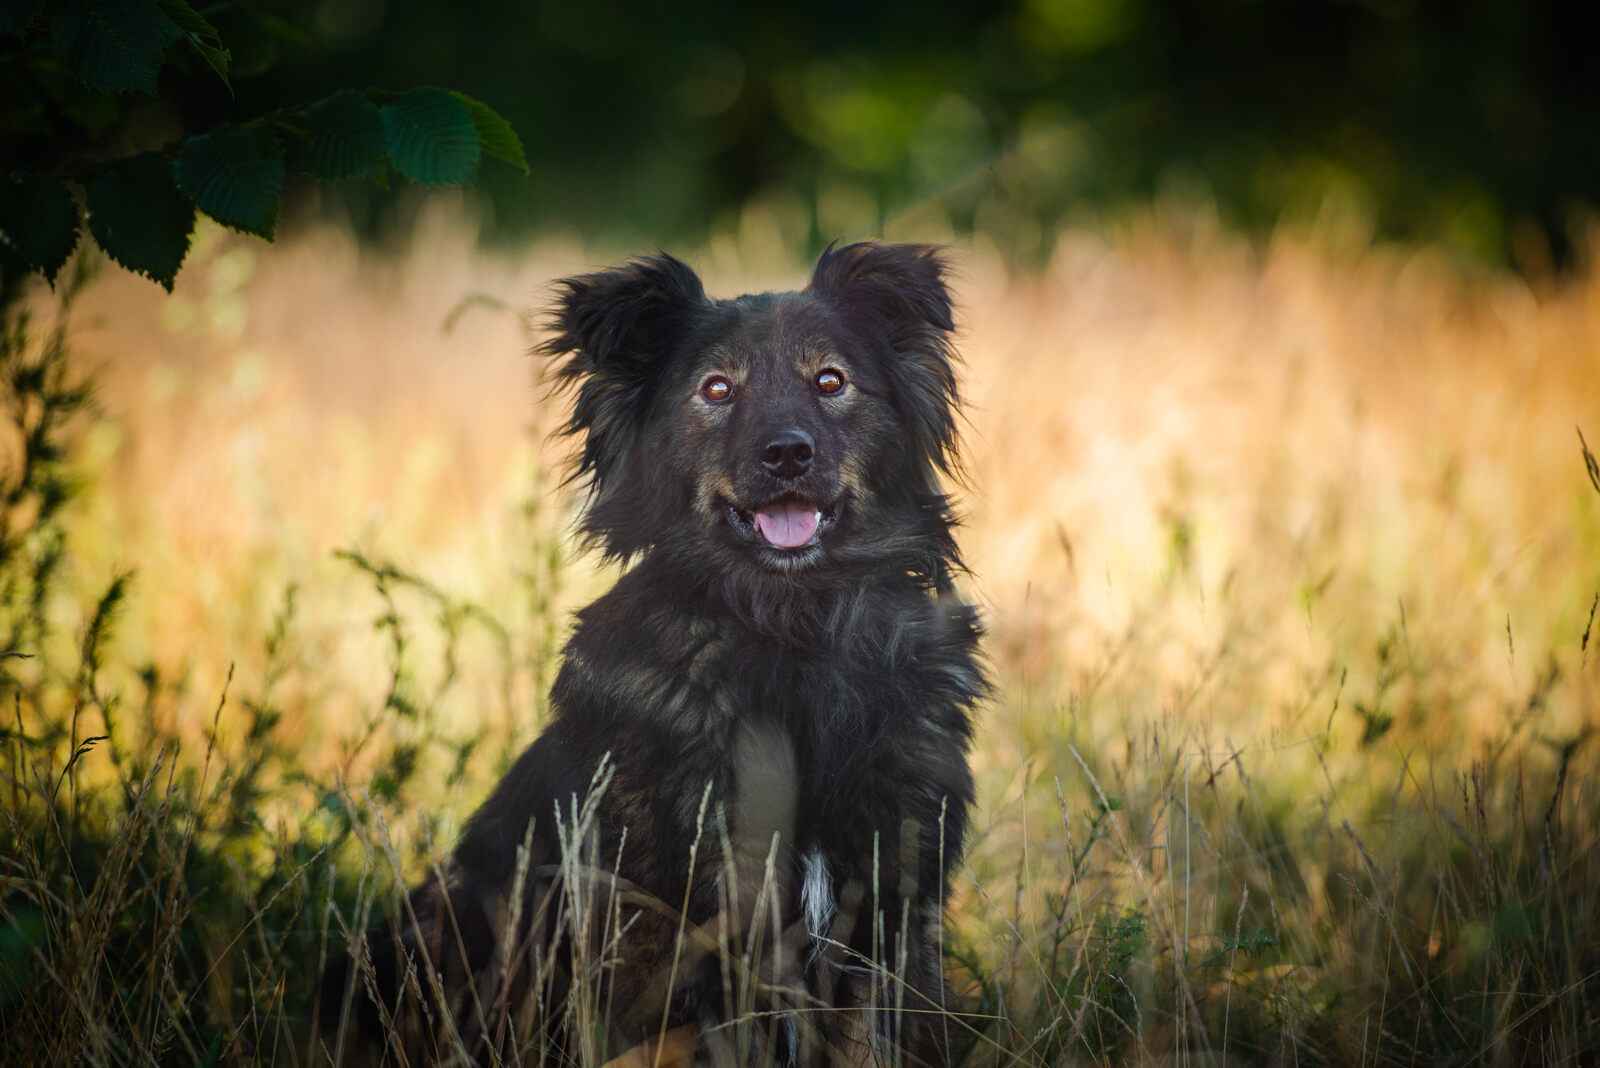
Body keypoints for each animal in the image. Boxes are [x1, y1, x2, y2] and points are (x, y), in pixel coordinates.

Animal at [324, 244, 979, 1068]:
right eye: (717, 389)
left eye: (830, 381)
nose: (788, 454)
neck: (790, 630)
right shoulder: (675, 925)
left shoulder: (887, 913)